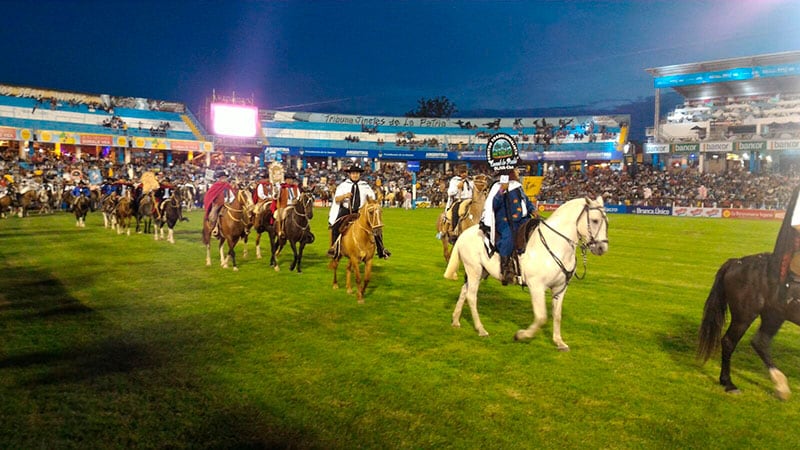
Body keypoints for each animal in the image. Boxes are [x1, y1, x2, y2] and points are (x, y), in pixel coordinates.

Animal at [444, 196, 608, 348]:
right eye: (594, 220)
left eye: (606, 222)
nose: (602, 248)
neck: (555, 245)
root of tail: (463, 234)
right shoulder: (537, 287)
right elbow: (541, 317)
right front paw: (522, 335)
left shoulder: (560, 289)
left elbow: (557, 315)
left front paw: (559, 341)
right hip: (474, 270)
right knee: (471, 297)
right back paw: (481, 329)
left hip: (481, 272)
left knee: (464, 291)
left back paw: (455, 320)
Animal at [696, 253, 796, 400]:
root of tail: (736, 262)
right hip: (745, 316)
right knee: (729, 342)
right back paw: (729, 383)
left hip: (774, 314)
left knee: (760, 342)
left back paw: (780, 385)